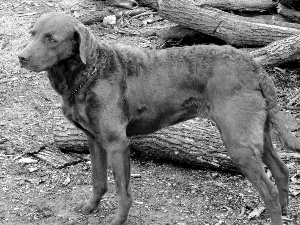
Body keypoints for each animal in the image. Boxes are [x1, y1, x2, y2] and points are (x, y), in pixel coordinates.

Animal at [18, 12, 300, 225]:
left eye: (51, 39)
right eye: (32, 34)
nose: (21, 57)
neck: (90, 73)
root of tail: (254, 65)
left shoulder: (117, 143)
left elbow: (122, 190)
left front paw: (118, 220)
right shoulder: (94, 140)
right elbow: (98, 181)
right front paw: (90, 208)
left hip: (238, 142)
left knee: (269, 191)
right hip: (258, 134)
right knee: (282, 171)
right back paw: (286, 209)